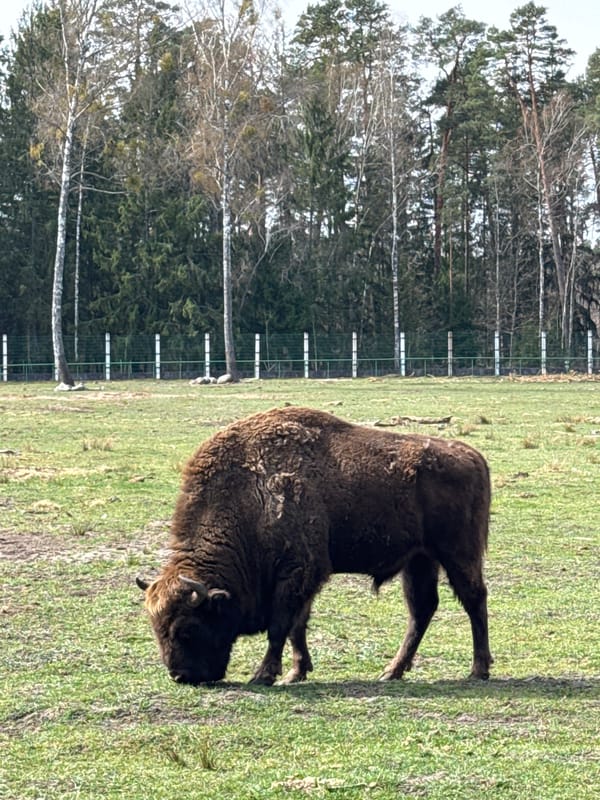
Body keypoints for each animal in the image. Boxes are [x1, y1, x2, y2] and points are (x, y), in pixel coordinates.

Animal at [137, 406, 493, 685]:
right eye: (155, 629)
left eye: (187, 629)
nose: (181, 676)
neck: (250, 495)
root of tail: (472, 456)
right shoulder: (302, 579)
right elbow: (298, 626)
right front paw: (297, 672)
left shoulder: (298, 572)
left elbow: (281, 626)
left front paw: (263, 675)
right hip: (419, 560)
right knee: (422, 610)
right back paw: (391, 671)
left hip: (458, 553)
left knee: (474, 599)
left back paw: (478, 670)